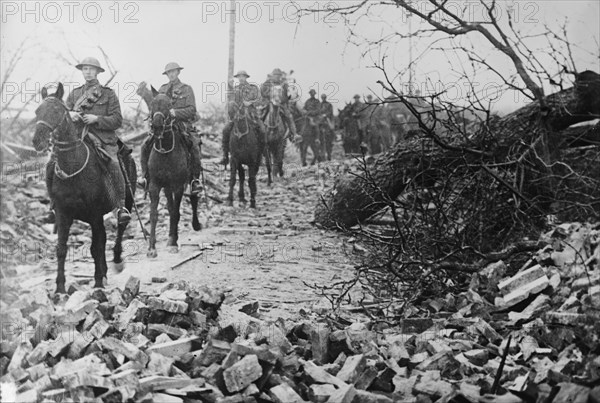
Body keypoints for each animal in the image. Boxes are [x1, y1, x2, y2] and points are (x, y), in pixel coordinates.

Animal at [32, 83, 135, 296]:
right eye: (37, 111)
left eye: (56, 111)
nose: (37, 141)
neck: (74, 166)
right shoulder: (63, 214)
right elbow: (62, 249)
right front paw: (60, 288)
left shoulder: (95, 214)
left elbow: (95, 248)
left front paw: (97, 284)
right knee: (103, 239)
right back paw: (104, 272)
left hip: (127, 201)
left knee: (120, 229)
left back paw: (116, 261)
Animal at [147, 88, 202, 258]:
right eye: (152, 104)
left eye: (169, 105)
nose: (157, 126)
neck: (165, 150)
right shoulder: (155, 185)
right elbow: (155, 214)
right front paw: (151, 248)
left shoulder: (178, 186)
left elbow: (176, 213)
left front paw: (173, 244)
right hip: (167, 187)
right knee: (171, 208)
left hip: (189, 181)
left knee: (193, 199)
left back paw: (195, 225)